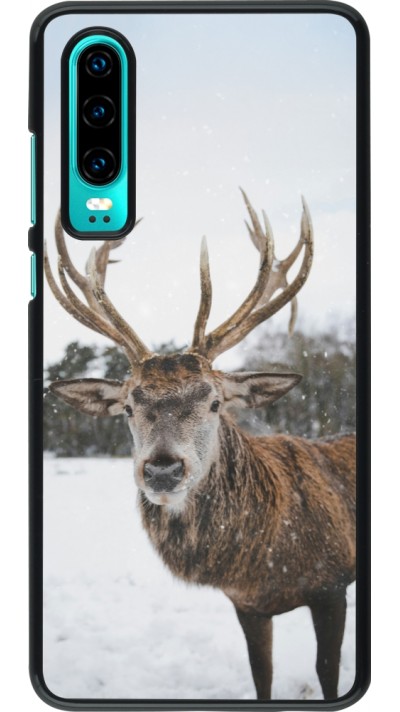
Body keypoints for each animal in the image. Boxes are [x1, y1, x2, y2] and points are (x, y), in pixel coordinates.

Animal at [45, 190, 356, 701]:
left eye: (214, 402)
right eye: (128, 407)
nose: (162, 470)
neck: (264, 562)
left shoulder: (332, 585)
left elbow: (327, 673)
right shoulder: (247, 605)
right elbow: (261, 675)